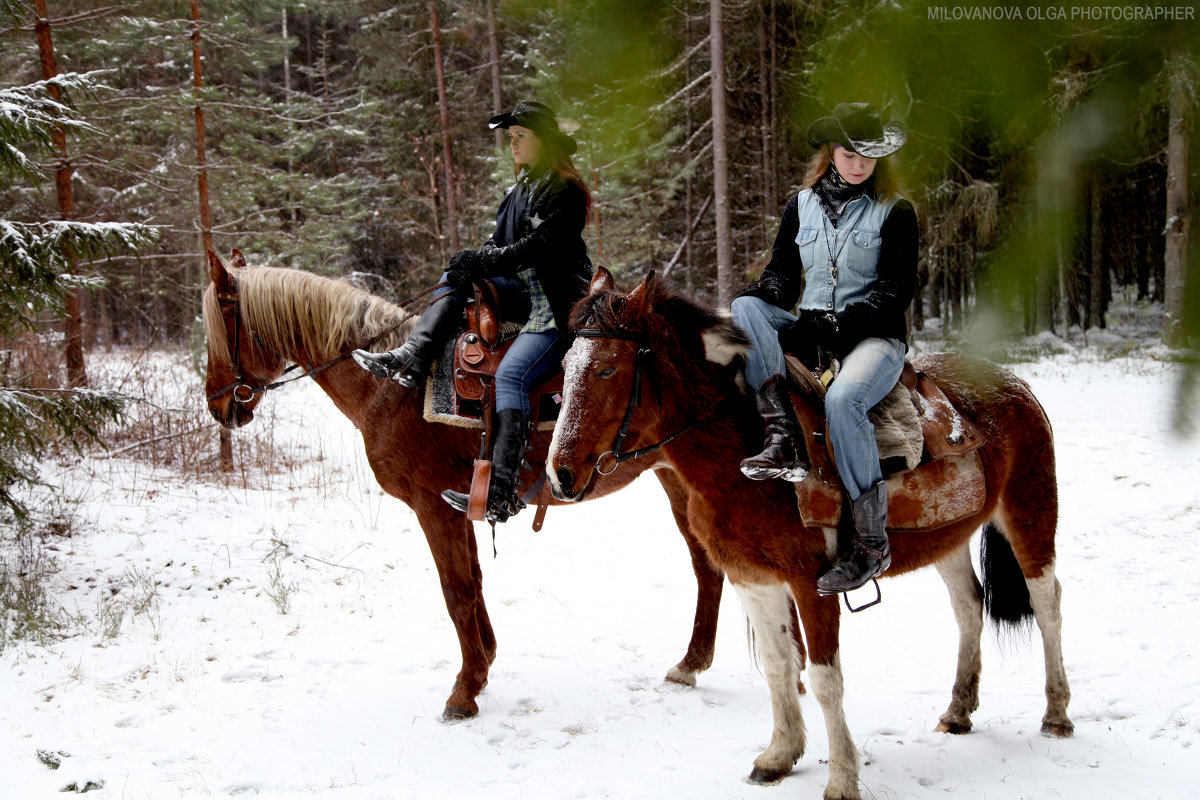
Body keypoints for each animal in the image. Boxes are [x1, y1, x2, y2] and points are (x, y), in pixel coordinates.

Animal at [202, 251, 753, 724]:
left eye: (217, 328)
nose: (218, 406)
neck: (391, 387)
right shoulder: (459, 504)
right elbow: (474, 583)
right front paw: (483, 663)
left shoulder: (431, 507)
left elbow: (457, 591)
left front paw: (464, 691)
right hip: (675, 475)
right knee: (707, 566)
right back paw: (691, 663)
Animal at [549, 268, 1075, 800]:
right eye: (566, 369)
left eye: (607, 370)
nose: (560, 474)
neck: (750, 449)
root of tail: (1013, 383)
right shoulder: (753, 581)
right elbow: (779, 666)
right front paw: (779, 755)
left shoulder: (812, 585)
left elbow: (824, 679)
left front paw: (841, 777)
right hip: (949, 537)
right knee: (969, 607)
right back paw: (959, 710)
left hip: (1030, 513)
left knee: (1046, 602)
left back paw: (1056, 713)